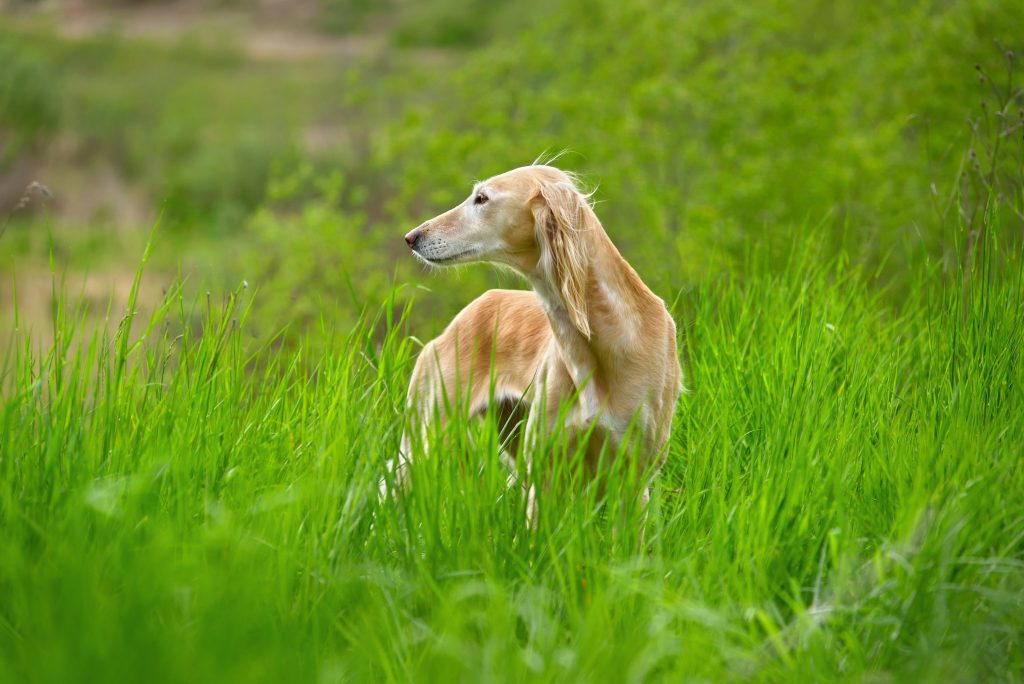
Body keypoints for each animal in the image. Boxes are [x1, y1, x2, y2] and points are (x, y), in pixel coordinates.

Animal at [382, 163, 679, 518]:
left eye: (482, 198)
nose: (411, 237)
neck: (606, 338)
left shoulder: (633, 478)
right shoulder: (546, 474)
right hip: (425, 434)